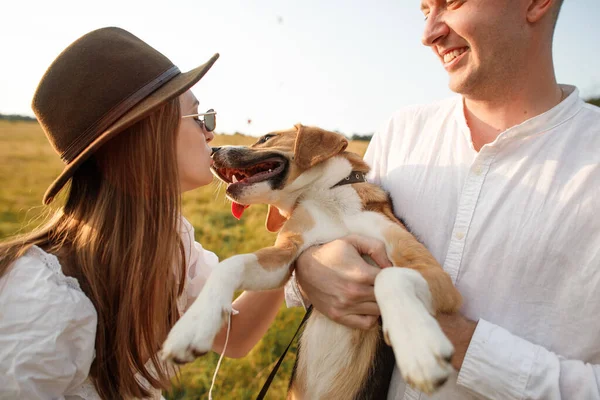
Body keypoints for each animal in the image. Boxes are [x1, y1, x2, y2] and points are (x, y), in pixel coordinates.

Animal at [163, 124, 464, 396]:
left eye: (266, 137)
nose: (213, 150)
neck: (327, 197)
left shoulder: (436, 275)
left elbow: (390, 276)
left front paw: (418, 348)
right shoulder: (284, 259)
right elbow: (230, 265)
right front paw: (194, 324)